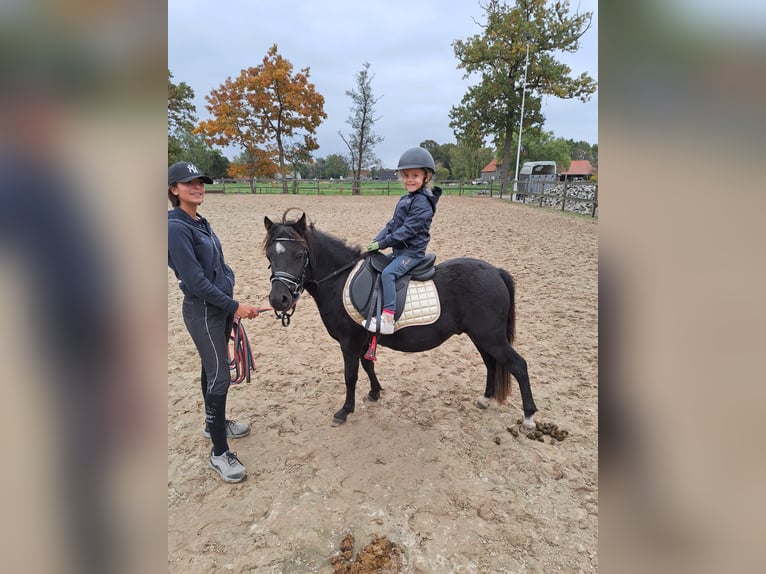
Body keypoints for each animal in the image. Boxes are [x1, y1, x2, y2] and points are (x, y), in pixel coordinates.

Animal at [263, 210, 538, 430]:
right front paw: (375, 392)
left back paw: (529, 418)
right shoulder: (363, 339)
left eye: (299, 254)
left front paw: (344, 411)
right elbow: (368, 365)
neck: (339, 279)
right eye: (269, 256)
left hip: (491, 337)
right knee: (491, 364)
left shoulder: (348, 342)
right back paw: (485, 399)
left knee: (518, 366)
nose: (279, 299)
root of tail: (496, 272)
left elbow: (350, 375)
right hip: (482, 337)